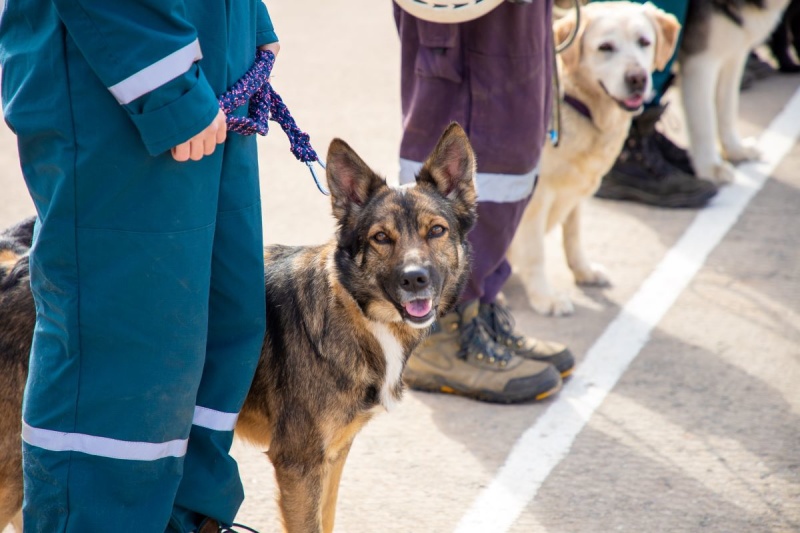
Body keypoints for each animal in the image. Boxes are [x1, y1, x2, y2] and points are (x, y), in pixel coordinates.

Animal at [0, 122, 476, 528]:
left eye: (436, 231)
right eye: (380, 238)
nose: (415, 279)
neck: (355, 312)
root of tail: (16, 271)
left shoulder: (334, 457)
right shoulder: (299, 465)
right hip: (13, 463)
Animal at [512, 0, 680, 314]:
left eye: (644, 42)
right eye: (605, 47)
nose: (637, 78)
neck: (584, 109)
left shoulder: (575, 193)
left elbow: (574, 237)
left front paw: (584, 271)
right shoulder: (533, 198)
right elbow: (534, 251)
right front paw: (545, 296)